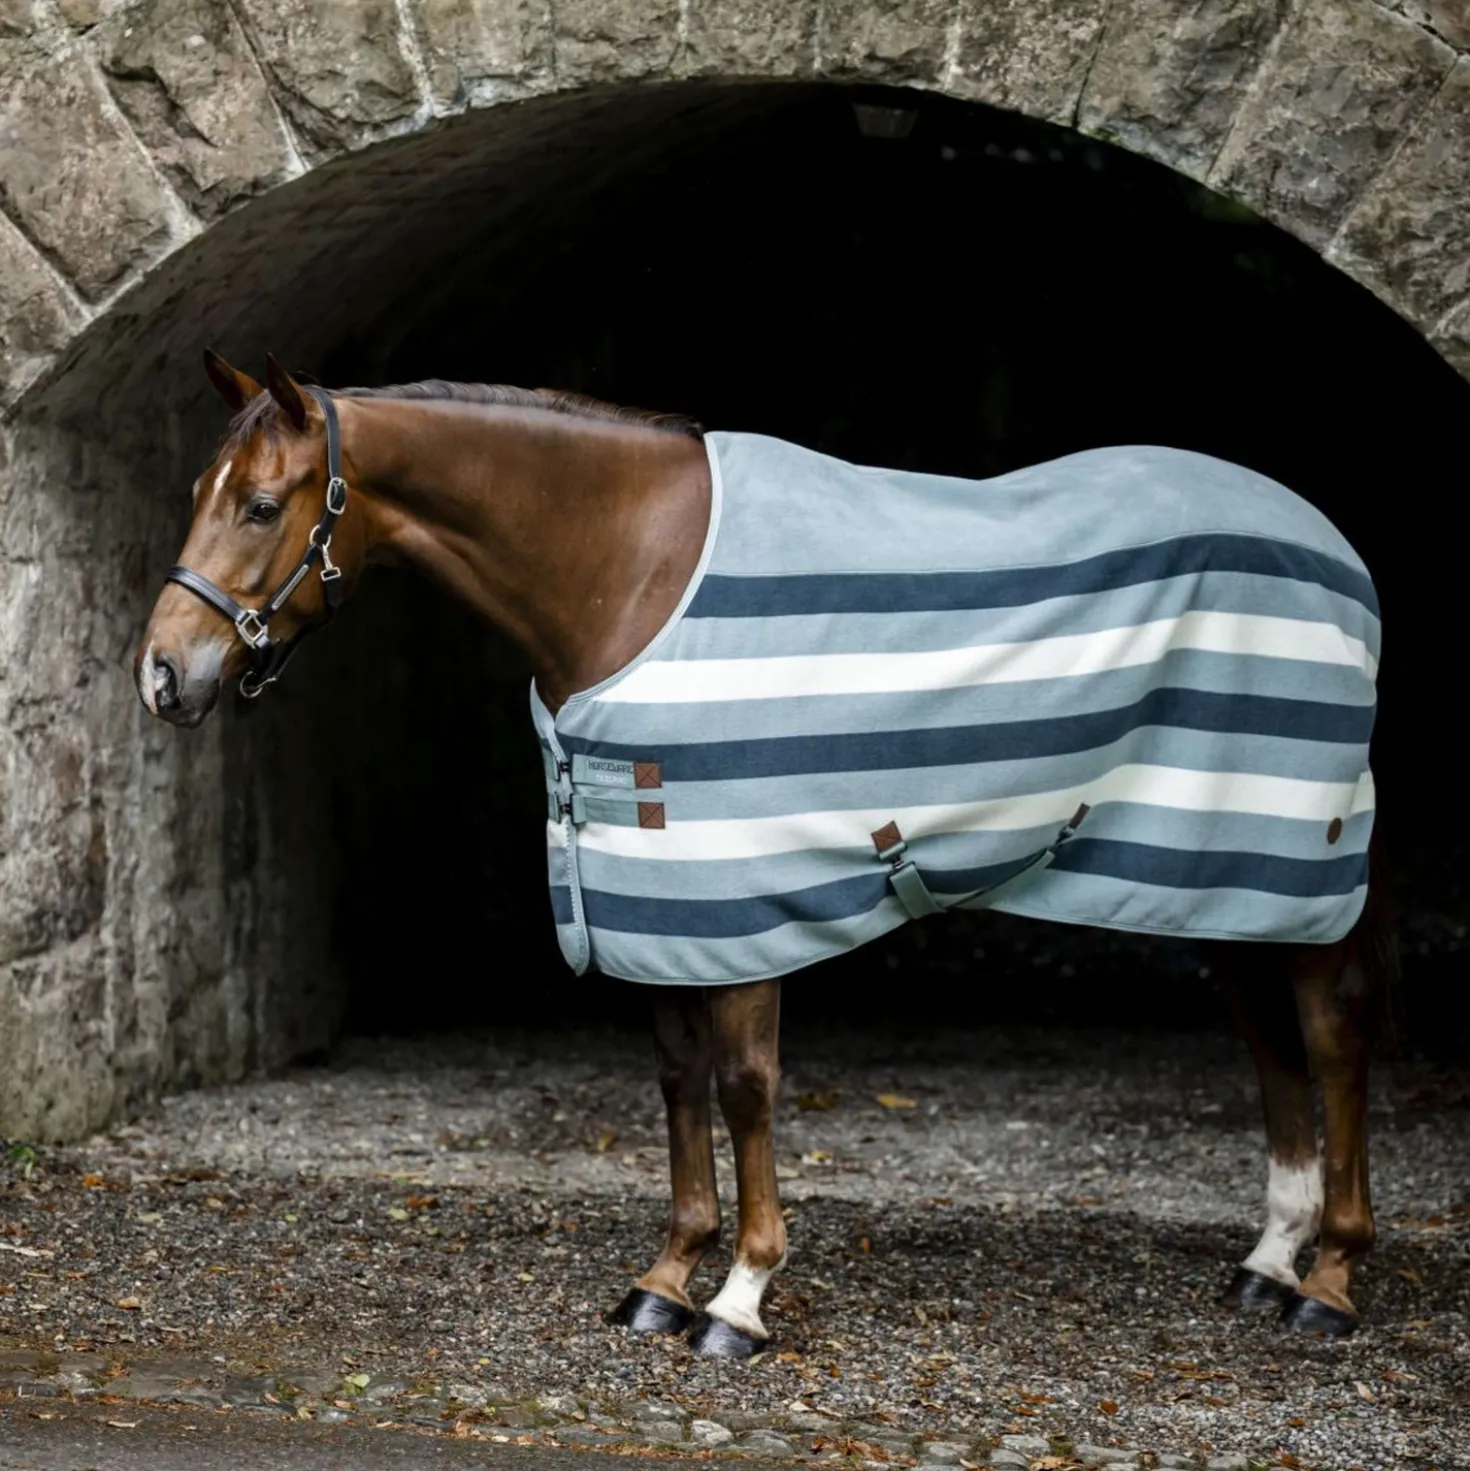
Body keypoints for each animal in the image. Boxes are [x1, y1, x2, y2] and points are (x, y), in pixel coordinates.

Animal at [135, 351, 1394, 1354]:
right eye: (196, 492)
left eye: (261, 505)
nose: (163, 675)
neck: (628, 565)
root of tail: (1335, 546)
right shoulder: (654, 901)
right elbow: (678, 1079)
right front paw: (664, 1277)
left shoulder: (740, 900)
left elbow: (744, 1087)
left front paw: (739, 1297)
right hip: (1213, 876)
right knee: (1266, 1039)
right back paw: (1267, 1260)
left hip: (1303, 868)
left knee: (1332, 1038)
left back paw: (1330, 1279)